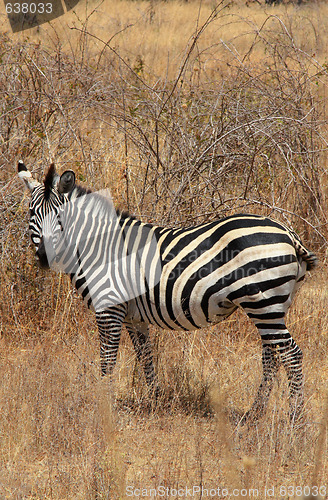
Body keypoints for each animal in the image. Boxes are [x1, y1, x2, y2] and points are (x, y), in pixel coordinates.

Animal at [18, 162, 318, 424]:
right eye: (33, 215)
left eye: (60, 218)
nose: (44, 258)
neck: (98, 247)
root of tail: (288, 232)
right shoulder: (133, 316)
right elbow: (145, 357)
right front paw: (154, 400)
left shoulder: (109, 307)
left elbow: (107, 359)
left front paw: (102, 404)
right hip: (274, 306)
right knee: (272, 355)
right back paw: (254, 414)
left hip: (264, 302)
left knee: (291, 354)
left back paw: (295, 420)